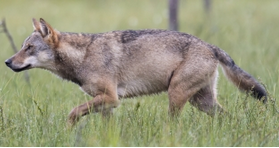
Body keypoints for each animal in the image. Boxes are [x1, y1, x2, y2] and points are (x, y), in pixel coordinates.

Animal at [3, 18, 266, 125]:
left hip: (177, 96)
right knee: (228, 118)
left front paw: (68, 132)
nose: (6, 62)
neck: (83, 56)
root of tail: (210, 46)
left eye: (28, 48)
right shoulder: (106, 105)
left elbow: (72, 113)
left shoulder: (111, 98)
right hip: (202, 102)